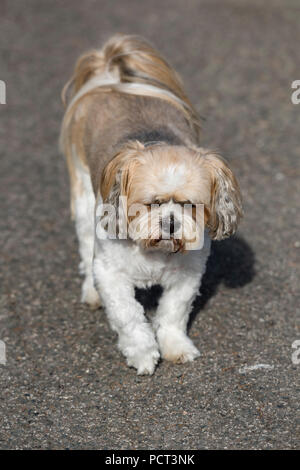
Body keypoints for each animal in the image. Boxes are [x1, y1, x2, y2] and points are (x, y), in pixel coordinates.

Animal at [59, 35, 243, 374]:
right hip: (83, 195)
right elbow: (129, 317)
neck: (155, 253)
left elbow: (173, 313)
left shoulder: (187, 275)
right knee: (85, 240)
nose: (170, 223)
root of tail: (112, 76)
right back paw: (91, 291)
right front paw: (143, 354)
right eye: (151, 203)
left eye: (190, 205)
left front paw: (175, 346)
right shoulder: (111, 273)